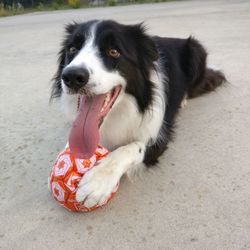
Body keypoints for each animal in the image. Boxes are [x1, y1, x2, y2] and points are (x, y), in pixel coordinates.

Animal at [50, 19, 225, 208]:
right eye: (72, 49)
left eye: (114, 51)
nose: (72, 76)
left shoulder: (159, 136)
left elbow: (132, 147)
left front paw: (98, 180)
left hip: (196, 50)